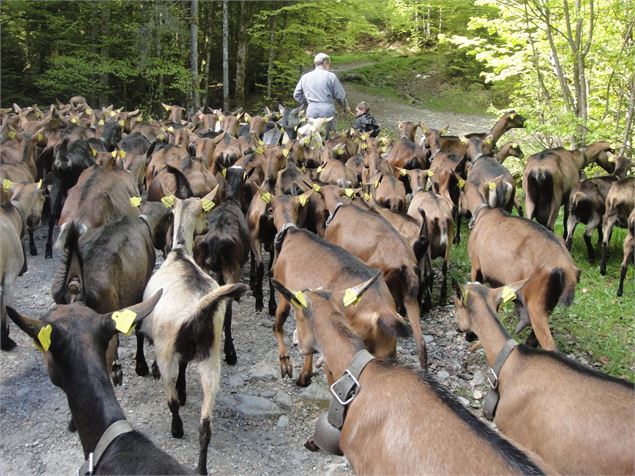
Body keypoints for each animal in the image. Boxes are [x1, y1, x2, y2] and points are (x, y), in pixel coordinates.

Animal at [139, 185, 248, 472]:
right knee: (205, 425)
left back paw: (176, 429)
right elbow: (185, 366)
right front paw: (185, 388)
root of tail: (201, 308)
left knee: (171, 400)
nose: (206, 226)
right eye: (203, 211)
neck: (179, 253)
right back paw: (201, 468)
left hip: (166, 351)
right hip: (211, 360)